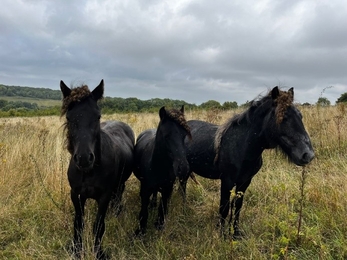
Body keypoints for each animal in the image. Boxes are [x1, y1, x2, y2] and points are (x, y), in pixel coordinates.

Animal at [61, 80, 135, 258]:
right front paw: (76, 250)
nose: (83, 158)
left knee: (119, 195)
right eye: (69, 117)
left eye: (97, 117)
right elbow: (78, 224)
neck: (89, 172)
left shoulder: (104, 196)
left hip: (120, 184)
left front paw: (98, 253)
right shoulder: (76, 195)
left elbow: (99, 226)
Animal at [134, 105, 193, 236]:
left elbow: (162, 209)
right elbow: (143, 211)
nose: (183, 168)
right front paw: (140, 232)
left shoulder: (167, 189)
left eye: (184, 135)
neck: (158, 166)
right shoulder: (145, 190)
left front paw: (159, 225)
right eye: (166, 136)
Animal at [182, 87, 316, 238]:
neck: (242, 146)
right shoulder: (227, 181)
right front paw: (222, 235)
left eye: (300, 115)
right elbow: (224, 208)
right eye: (283, 117)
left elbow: (238, 207)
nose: (308, 155)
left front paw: (235, 233)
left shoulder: (245, 181)